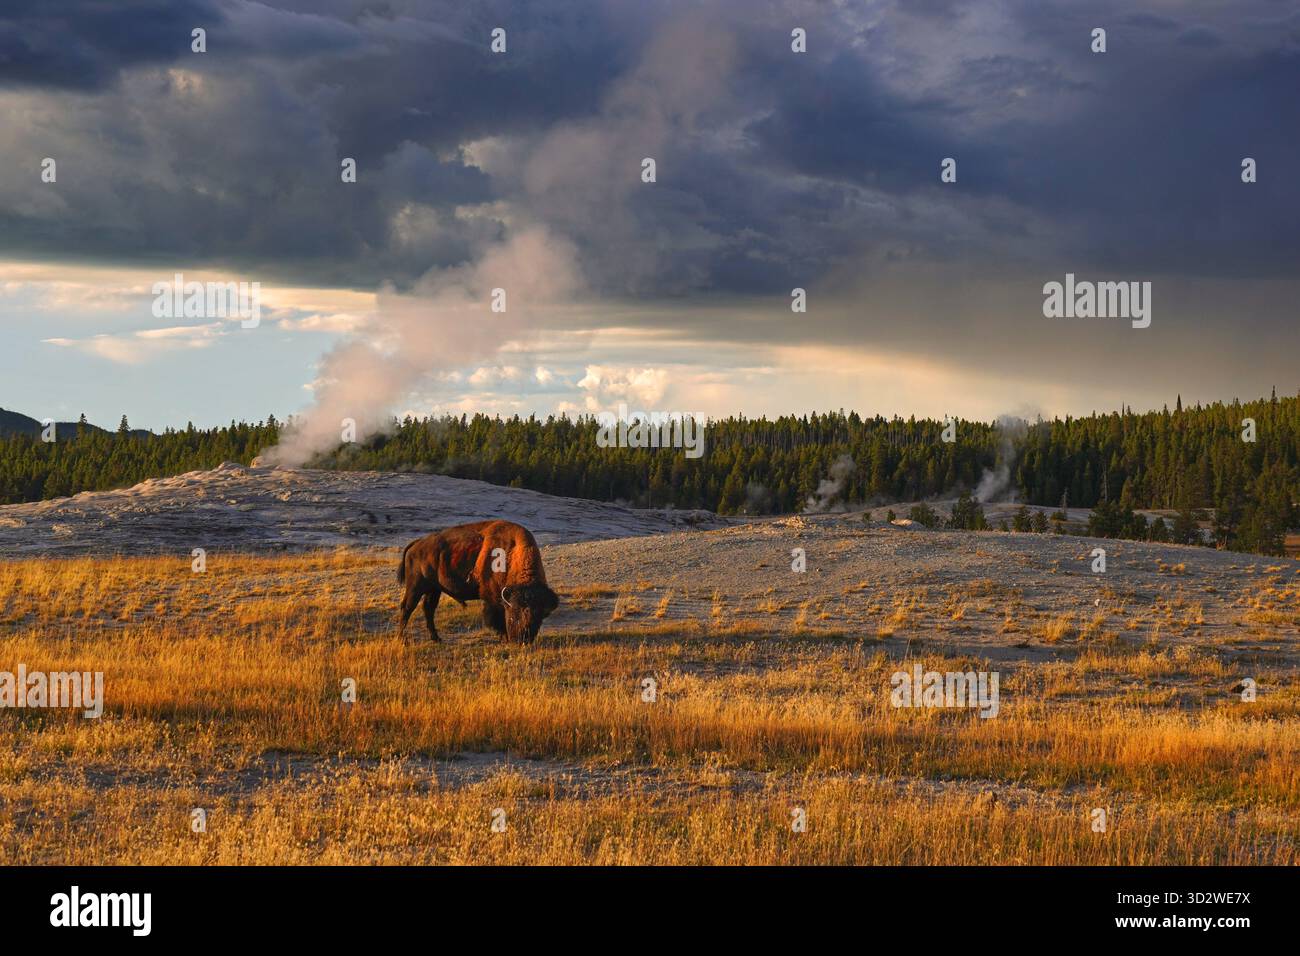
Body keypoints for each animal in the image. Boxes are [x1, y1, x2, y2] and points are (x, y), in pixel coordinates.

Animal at [397, 520, 559, 643]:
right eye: (515, 612)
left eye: (539, 616)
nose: (522, 639)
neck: (511, 553)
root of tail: (417, 544)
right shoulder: (494, 599)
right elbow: (496, 618)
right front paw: (504, 638)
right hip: (415, 587)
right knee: (407, 608)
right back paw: (401, 639)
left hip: (434, 589)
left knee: (428, 609)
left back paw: (436, 638)